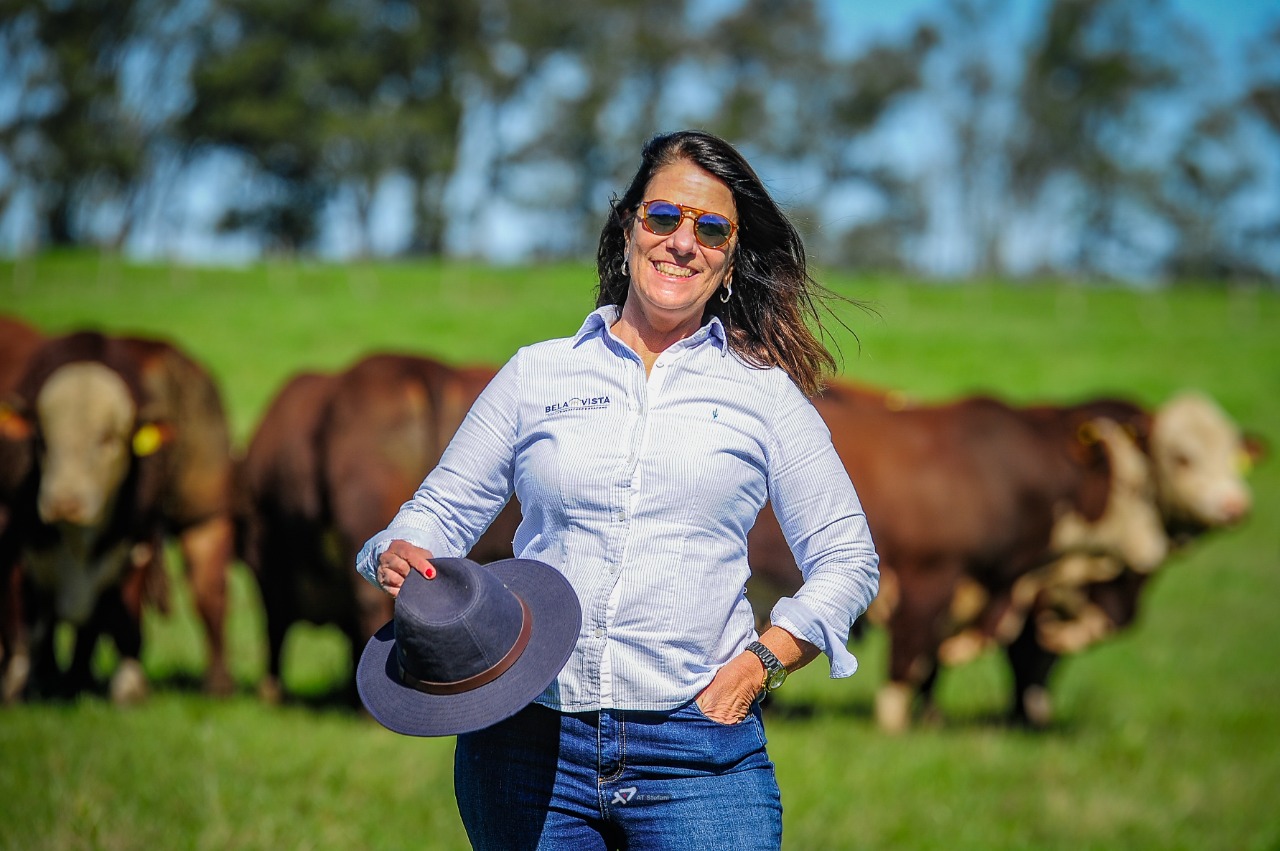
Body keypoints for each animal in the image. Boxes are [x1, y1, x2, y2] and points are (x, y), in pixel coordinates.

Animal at [0, 327, 235, 701]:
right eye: (42, 440)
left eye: (109, 439)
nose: (64, 502)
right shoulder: (20, 541)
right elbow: (28, 626)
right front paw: (24, 686)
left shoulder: (135, 540)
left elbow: (121, 621)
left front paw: (125, 687)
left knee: (207, 589)